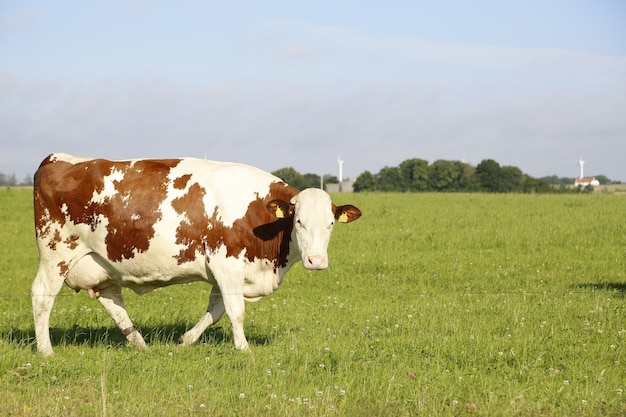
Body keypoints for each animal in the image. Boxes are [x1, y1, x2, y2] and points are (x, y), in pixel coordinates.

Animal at [30, 153, 360, 354]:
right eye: (299, 221)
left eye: (331, 223)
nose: (316, 261)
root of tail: (58, 159)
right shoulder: (226, 263)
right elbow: (236, 311)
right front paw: (244, 349)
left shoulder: (222, 272)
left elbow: (216, 312)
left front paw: (184, 341)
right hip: (56, 253)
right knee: (41, 295)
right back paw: (46, 350)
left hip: (102, 262)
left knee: (112, 299)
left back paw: (140, 344)